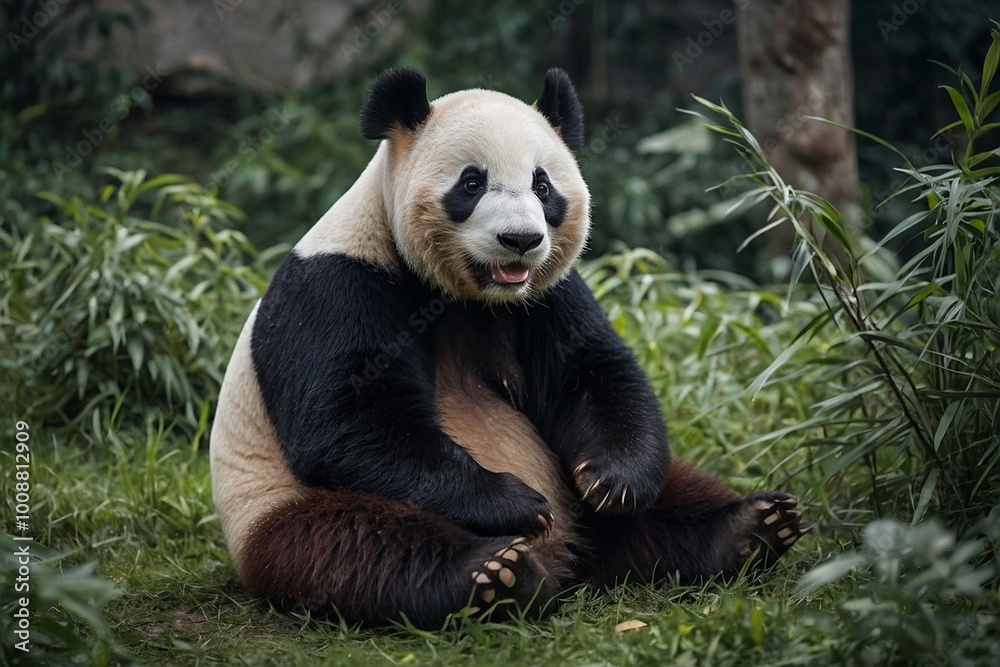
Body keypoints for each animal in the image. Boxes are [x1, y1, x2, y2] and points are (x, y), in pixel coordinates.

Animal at [209, 67, 809, 628]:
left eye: (543, 186)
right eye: (472, 182)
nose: (520, 240)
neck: (464, 295)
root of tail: (570, 562)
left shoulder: (547, 295)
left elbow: (590, 375)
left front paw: (612, 482)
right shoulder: (336, 286)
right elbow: (350, 419)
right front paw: (516, 503)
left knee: (671, 497)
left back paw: (749, 527)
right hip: (283, 512)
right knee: (362, 543)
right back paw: (499, 574)